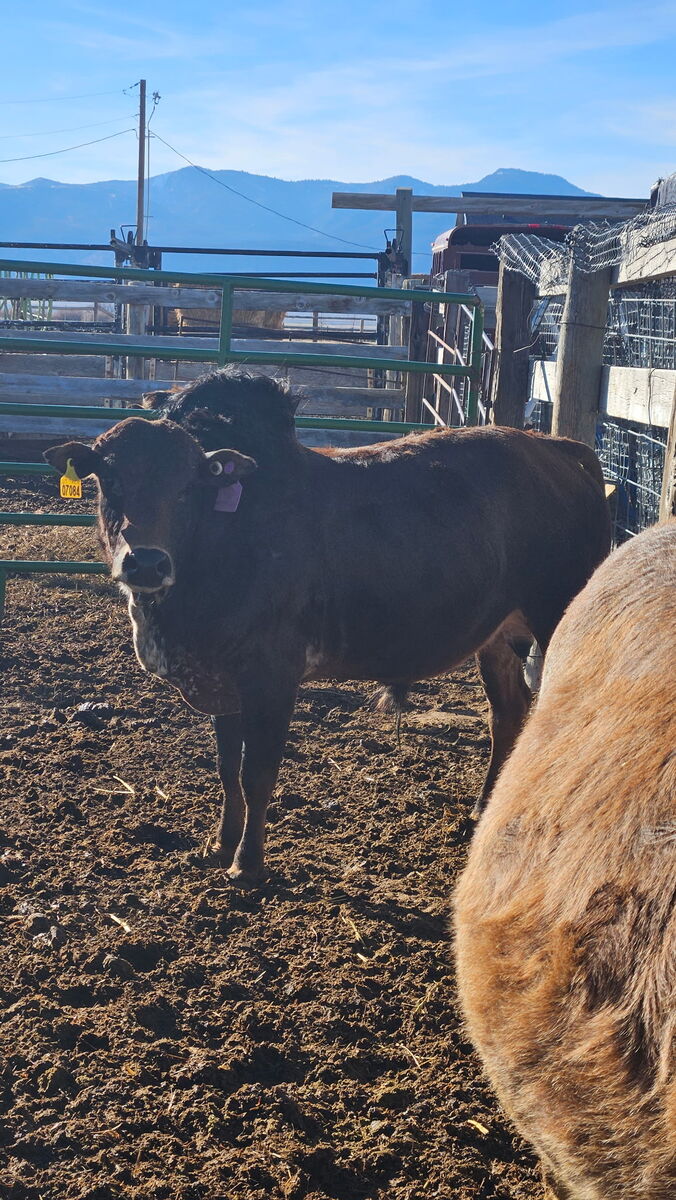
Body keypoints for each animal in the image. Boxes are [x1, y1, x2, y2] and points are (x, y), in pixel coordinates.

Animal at [44, 369, 610, 885]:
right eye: (110, 480)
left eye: (188, 487)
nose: (146, 562)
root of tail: (559, 448)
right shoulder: (222, 680)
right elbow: (227, 770)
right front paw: (219, 844)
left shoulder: (271, 677)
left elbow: (256, 772)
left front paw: (247, 864)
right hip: (496, 638)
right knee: (507, 713)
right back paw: (480, 811)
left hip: (556, 615)